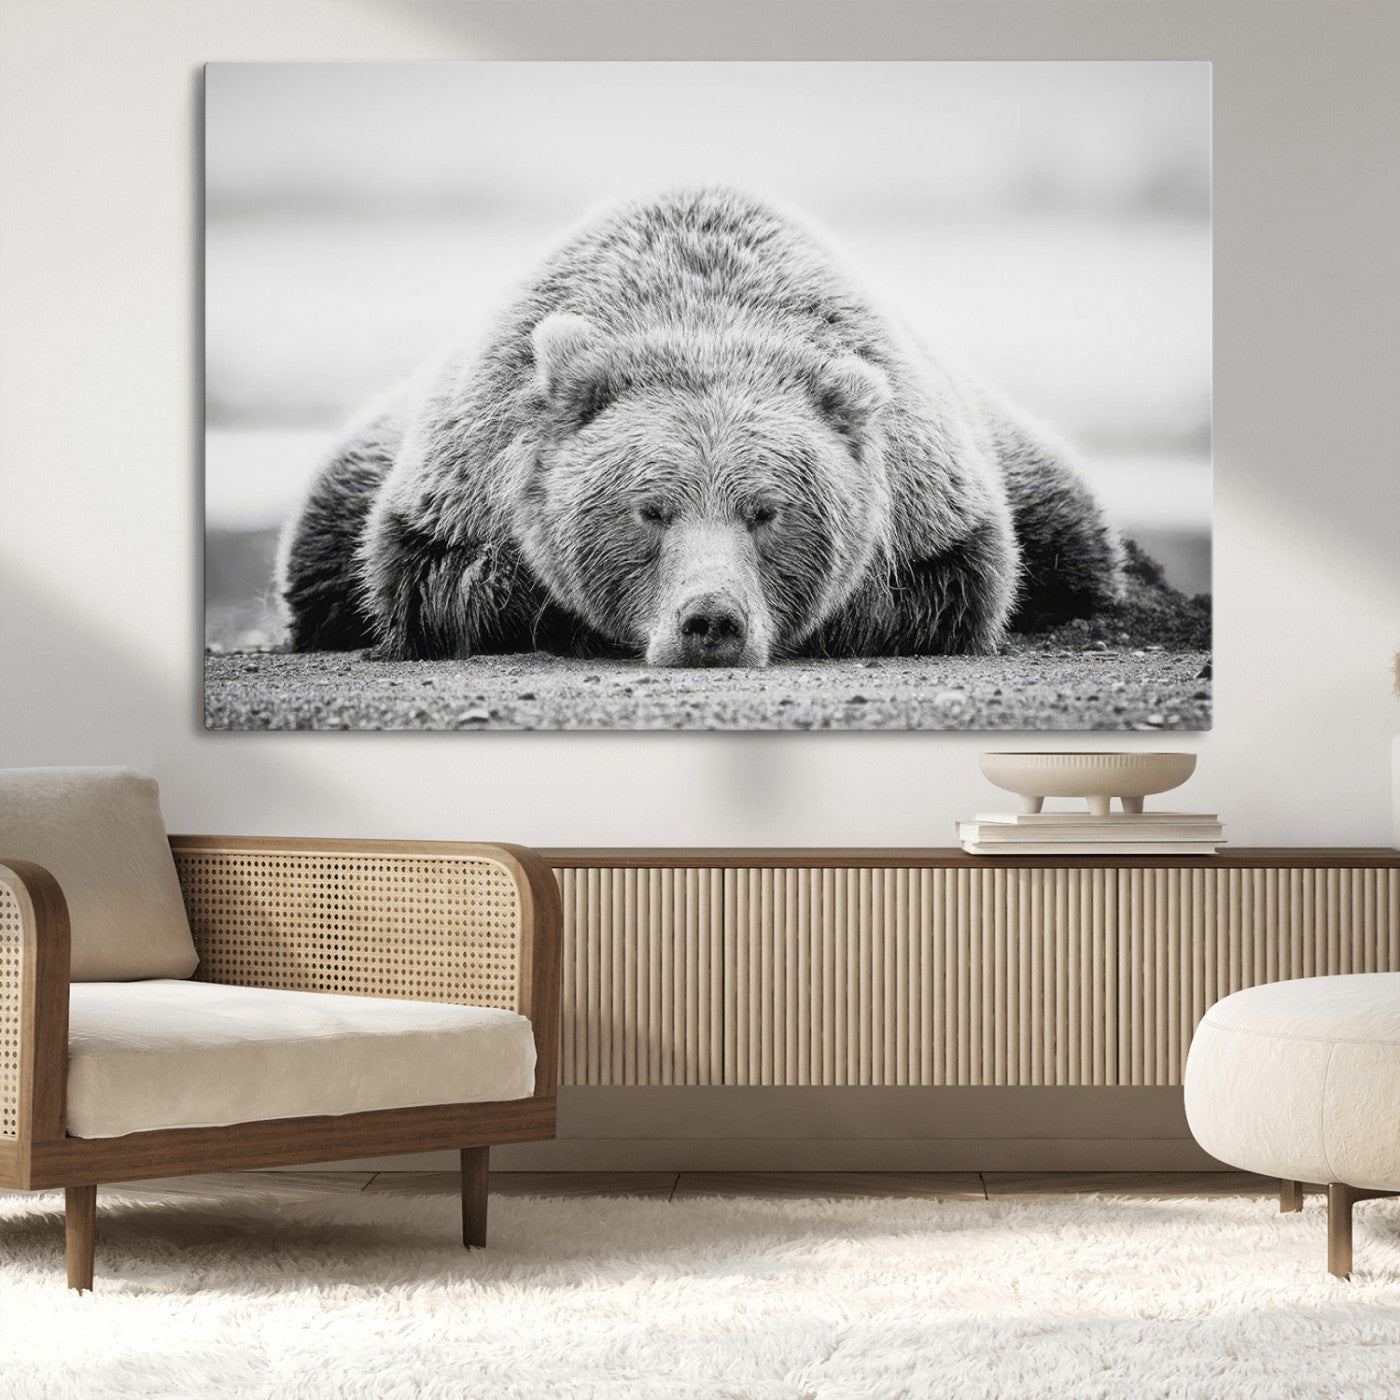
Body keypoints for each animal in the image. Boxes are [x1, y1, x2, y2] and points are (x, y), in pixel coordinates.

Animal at [279, 187, 1121, 665]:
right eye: (650, 509)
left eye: (767, 511)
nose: (710, 621)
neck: (703, 315)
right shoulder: (462, 483)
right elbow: (439, 581)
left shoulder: (930, 504)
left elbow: (948, 586)